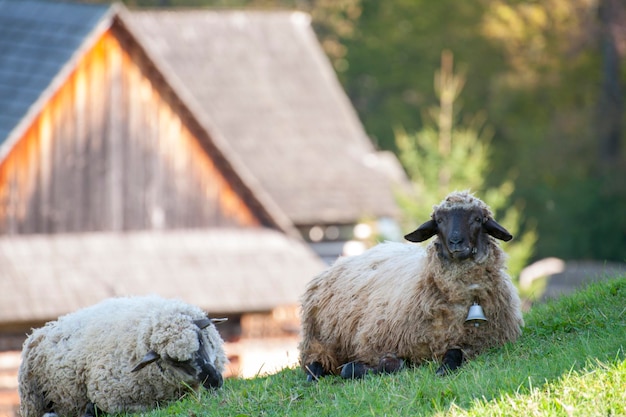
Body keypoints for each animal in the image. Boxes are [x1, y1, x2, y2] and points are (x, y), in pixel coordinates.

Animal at [17, 294, 229, 414]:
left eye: (200, 339)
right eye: (173, 361)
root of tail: (39, 331)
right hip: (34, 402)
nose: (213, 380)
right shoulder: (110, 396)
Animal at [298, 190, 520, 378]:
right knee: (315, 361)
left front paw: (444, 368)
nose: (456, 242)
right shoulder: (377, 343)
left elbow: (454, 354)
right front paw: (357, 368)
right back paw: (316, 372)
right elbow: (388, 364)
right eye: (439, 221)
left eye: (477, 219)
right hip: (318, 339)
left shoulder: (476, 343)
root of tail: (338, 261)